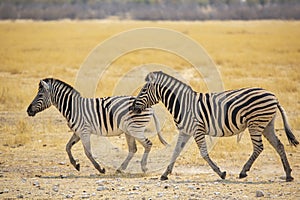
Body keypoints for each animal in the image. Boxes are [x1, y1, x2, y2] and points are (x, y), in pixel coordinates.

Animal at [27, 77, 168, 173]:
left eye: (40, 95)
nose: (28, 110)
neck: (73, 108)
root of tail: (150, 107)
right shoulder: (77, 132)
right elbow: (67, 147)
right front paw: (75, 164)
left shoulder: (84, 131)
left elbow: (88, 152)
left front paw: (100, 168)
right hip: (129, 131)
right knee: (133, 149)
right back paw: (121, 168)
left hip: (135, 129)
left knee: (148, 144)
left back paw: (143, 167)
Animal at [131, 71, 298, 181]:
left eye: (143, 90)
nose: (133, 108)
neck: (183, 105)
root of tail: (273, 96)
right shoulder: (185, 131)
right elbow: (175, 152)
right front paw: (165, 174)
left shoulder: (197, 130)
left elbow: (204, 153)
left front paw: (220, 173)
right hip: (267, 124)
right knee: (279, 145)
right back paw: (288, 174)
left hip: (255, 123)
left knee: (259, 147)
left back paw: (243, 172)